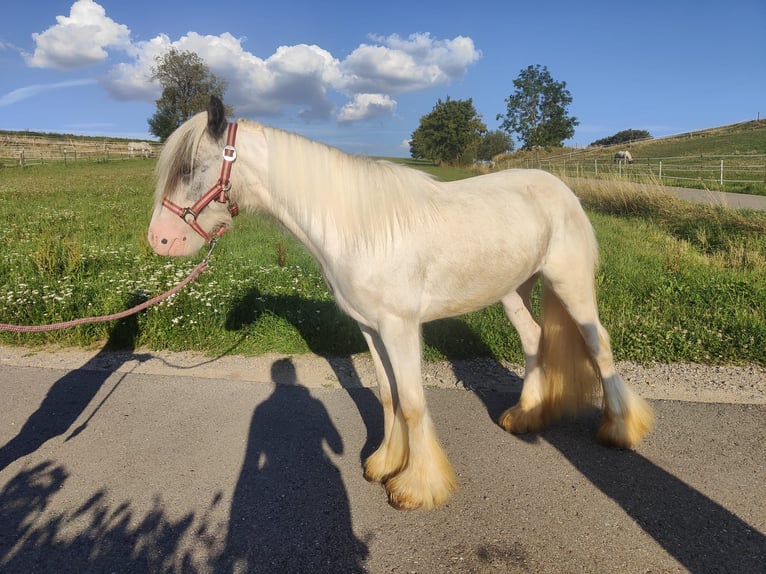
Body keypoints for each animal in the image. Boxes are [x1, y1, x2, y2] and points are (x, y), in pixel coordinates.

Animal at [148, 99, 656, 512]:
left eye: (191, 168)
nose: (160, 241)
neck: (356, 227)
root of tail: (559, 187)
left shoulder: (400, 326)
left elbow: (411, 402)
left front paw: (417, 487)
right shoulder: (371, 328)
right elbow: (389, 396)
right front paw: (385, 465)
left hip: (570, 282)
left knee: (599, 346)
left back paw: (620, 429)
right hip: (514, 290)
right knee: (534, 340)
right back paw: (526, 415)